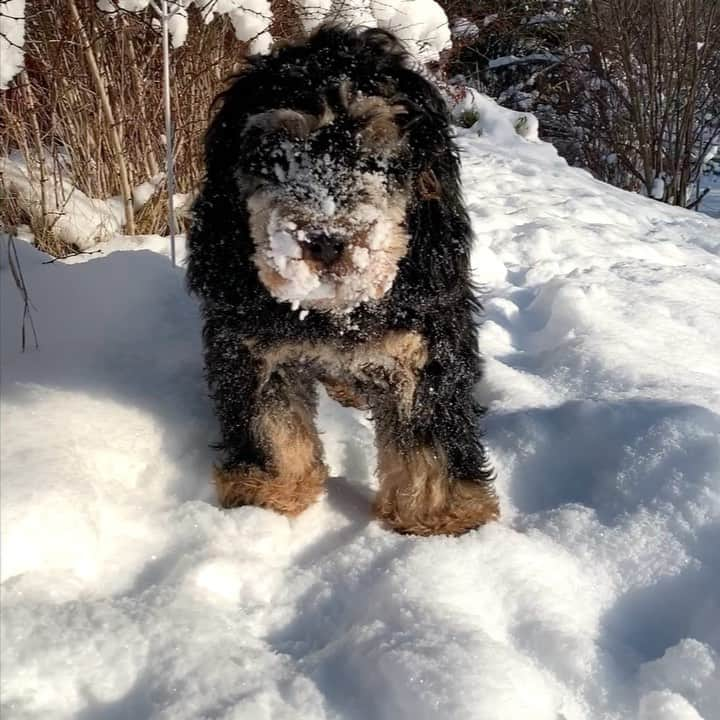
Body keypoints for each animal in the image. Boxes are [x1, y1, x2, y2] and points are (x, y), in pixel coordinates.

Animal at [188, 25, 498, 536]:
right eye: (279, 151)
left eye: (375, 154)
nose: (326, 241)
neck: (332, 311)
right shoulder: (253, 345)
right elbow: (271, 423)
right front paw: (271, 494)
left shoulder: (423, 342)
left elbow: (429, 435)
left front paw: (442, 517)